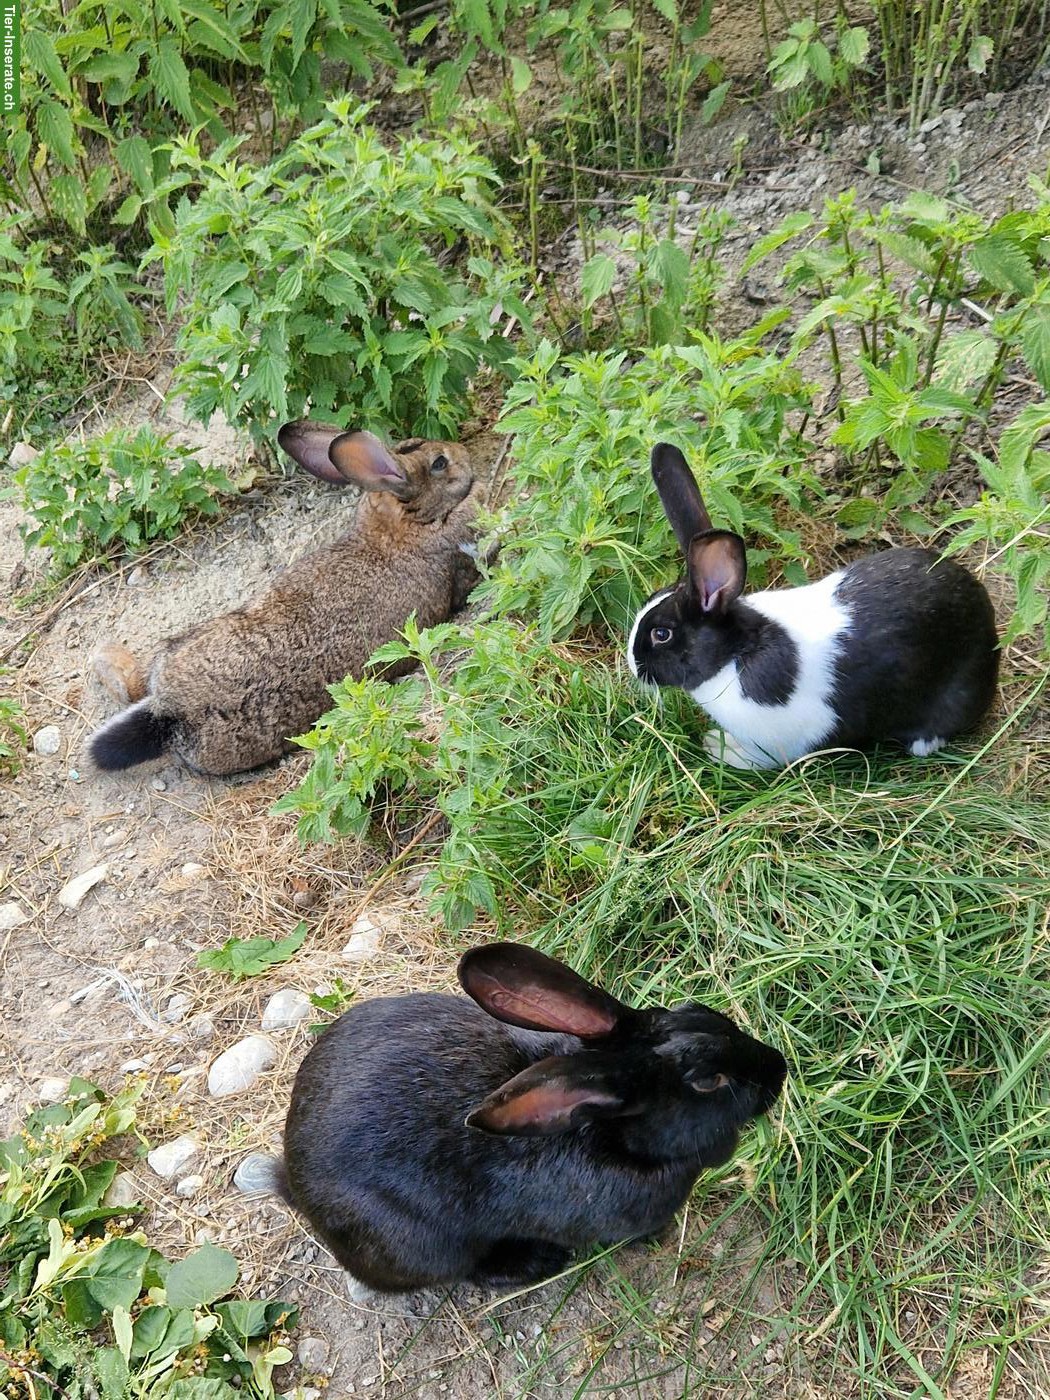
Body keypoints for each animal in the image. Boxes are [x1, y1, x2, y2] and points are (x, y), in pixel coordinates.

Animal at [279, 940, 787, 1293]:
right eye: (708, 1080)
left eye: (699, 1010)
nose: (779, 1068)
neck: (608, 1133)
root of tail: (294, 1186)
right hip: (423, 1246)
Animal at [628, 442, 1000, 771]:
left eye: (662, 634)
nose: (632, 666)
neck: (735, 654)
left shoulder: (779, 740)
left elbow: (759, 759)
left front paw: (719, 749)